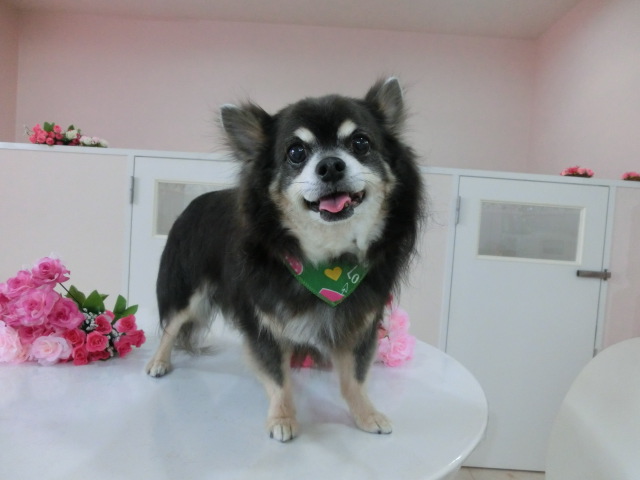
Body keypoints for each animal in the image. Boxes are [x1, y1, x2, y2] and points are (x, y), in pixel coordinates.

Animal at [145, 77, 423, 442]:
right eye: (296, 152)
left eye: (361, 142)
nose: (330, 165)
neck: (327, 261)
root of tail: (194, 202)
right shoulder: (264, 324)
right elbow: (277, 378)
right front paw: (282, 418)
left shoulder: (359, 323)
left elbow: (354, 377)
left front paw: (366, 414)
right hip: (188, 291)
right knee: (172, 326)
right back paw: (158, 362)